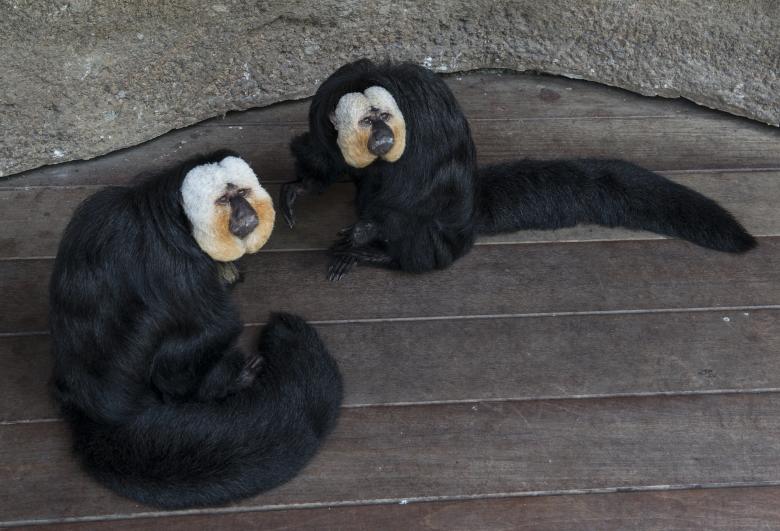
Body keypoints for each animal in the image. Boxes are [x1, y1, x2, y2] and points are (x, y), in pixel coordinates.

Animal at [48, 152, 343, 509]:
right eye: (224, 200)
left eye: (242, 194)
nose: (245, 213)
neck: (176, 220)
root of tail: (94, 411)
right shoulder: (180, 264)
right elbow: (215, 326)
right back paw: (227, 381)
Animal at [280, 59, 756, 280]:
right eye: (366, 121)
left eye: (382, 116)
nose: (381, 134)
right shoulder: (324, 115)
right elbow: (326, 157)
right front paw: (302, 187)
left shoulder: (425, 121)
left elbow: (424, 196)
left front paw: (367, 233)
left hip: (448, 240)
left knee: (424, 224)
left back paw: (383, 255)